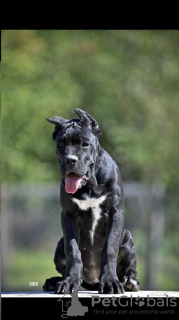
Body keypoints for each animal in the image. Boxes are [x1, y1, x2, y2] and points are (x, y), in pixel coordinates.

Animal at [42, 109, 139, 294]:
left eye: (85, 144)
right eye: (60, 144)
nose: (70, 159)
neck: (90, 185)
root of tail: (93, 281)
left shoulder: (115, 212)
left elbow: (110, 248)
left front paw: (110, 282)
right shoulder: (69, 215)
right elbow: (73, 250)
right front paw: (69, 281)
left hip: (127, 238)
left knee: (129, 266)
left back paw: (129, 281)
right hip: (59, 244)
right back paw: (55, 281)